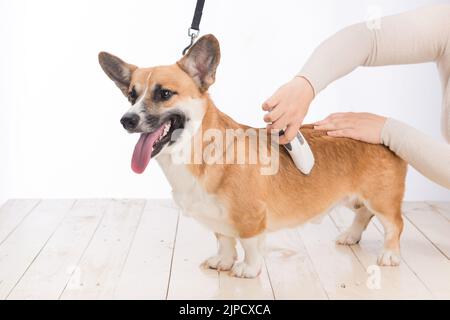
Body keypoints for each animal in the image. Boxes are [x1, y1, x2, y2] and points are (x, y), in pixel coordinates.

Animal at [99, 35, 408, 278]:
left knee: (394, 224)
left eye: (164, 93)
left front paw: (247, 269)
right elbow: (224, 241)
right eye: (131, 96)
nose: (126, 120)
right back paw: (350, 236)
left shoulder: (251, 219)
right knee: (364, 214)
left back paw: (390, 255)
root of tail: (380, 129)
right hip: (357, 198)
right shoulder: (220, 220)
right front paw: (223, 263)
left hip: (381, 199)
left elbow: (249, 245)